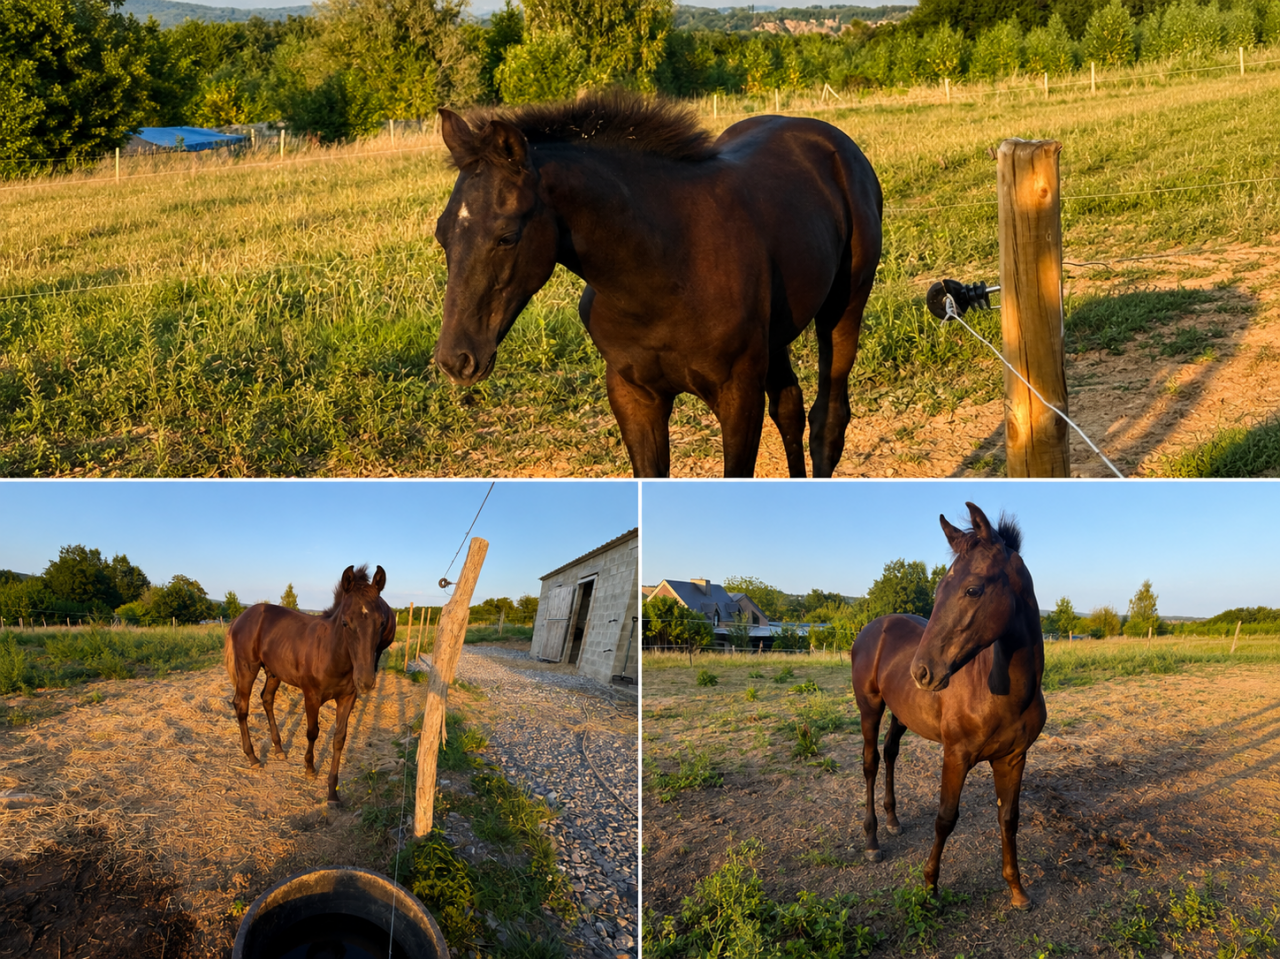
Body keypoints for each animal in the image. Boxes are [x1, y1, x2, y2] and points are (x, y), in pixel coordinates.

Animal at [224, 564, 396, 806]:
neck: (332, 655)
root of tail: (241, 617)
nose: (365, 681)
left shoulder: (347, 698)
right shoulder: (312, 696)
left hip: (274, 672)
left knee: (267, 699)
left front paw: (332, 793)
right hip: (247, 668)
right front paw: (309, 769)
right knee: (241, 705)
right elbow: (313, 732)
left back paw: (279, 749)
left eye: (381, 622)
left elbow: (339, 738)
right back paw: (253, 757)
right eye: (345, 622)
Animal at [432, 90, 882, 478]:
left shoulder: (738, 396)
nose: (456, 360)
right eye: (441, 233)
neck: (664, 271)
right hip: (776, 336)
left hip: (844, 308)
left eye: (507, 236)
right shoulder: (634, 397)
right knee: (789, 406)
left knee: (828, 420)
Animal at [851, 502, 1046, 909]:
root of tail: (874, 627)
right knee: (870, 763)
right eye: (940, 588)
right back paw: (872, 840)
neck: (1003, 692)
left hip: (901, 713)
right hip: (870, 707)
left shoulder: (1013, 757)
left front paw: (1017, 890)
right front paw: (930, 886)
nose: (922, 672)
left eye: (973, 589)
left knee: (890, 752)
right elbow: (945, 818)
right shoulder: (956, 755)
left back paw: (893, 822)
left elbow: (1009, 818)